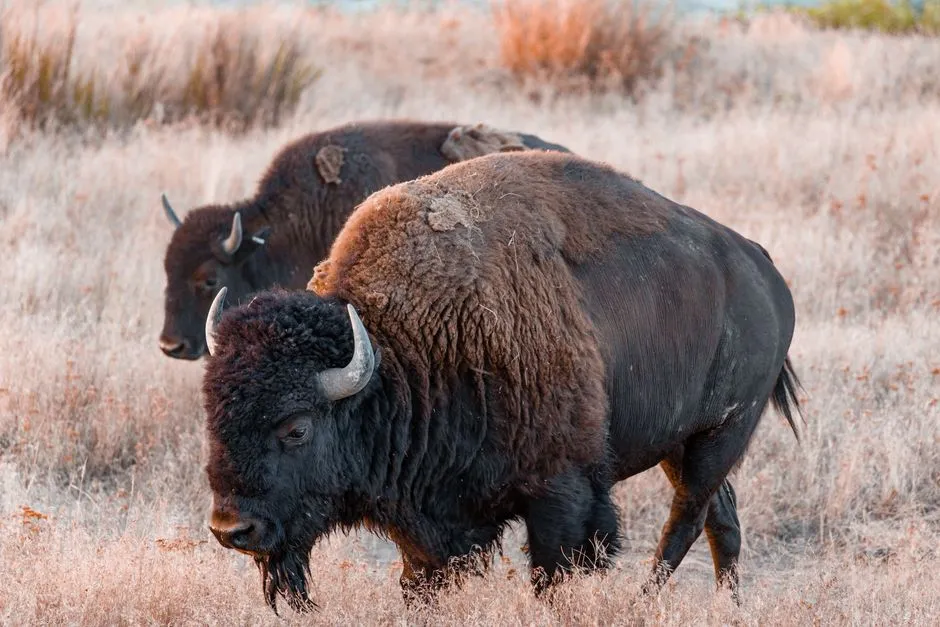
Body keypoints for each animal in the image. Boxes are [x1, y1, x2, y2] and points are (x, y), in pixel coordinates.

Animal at [199, 150, 803, 613]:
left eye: (296, 429)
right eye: (213, 416)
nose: (232, 529)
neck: (403, 350)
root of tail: (763, 268)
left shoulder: (563, 495)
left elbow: (555, 575)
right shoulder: (427, 524)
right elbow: (420, 581)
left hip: (721, 433)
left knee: (686, 519)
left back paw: (643, 601)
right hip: (681, 443)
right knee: (721, 518)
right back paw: (729, 604)